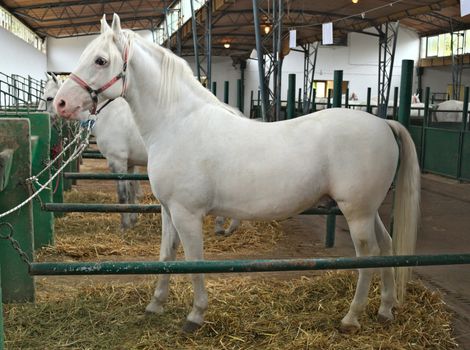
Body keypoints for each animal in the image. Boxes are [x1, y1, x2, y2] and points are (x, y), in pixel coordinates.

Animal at [53, 14, 420, 334]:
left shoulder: (187, 214)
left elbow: (193, 261)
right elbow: (166, 255)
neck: (177, 123)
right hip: (368, 211)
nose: (59, 104)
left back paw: (351, 318)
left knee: (368, 255)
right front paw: (156, 304)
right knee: (386, 247)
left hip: (356, 212)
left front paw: (195, 316)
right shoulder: (168, 211)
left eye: (100, 60)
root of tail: (383, 124)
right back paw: (385, 309)